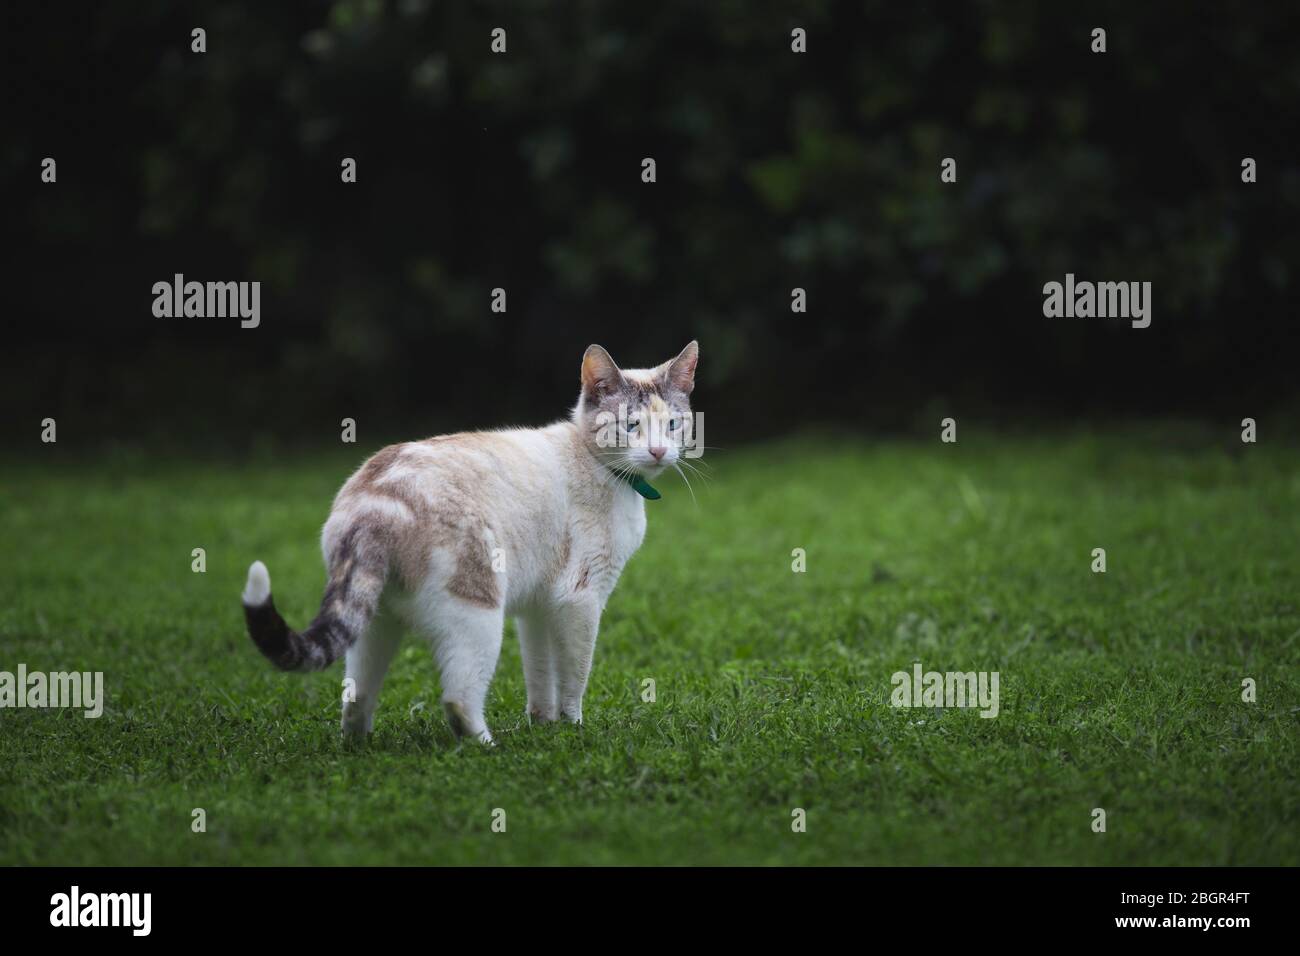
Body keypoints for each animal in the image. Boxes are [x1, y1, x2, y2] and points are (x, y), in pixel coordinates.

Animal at [239, 343, 696, 749]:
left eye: (673, 425)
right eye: (630, 426)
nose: (659, 451)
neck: (602, 467)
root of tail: (374, 504)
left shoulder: (538, 608)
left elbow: (540, 674)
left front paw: (545, 727)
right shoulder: (579, 599)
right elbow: (573, 679)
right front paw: (573, 730)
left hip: (374, 625)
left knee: (354, 699)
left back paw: (359, 747)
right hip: (478, 616)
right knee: (457, 699)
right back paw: (487, 747)